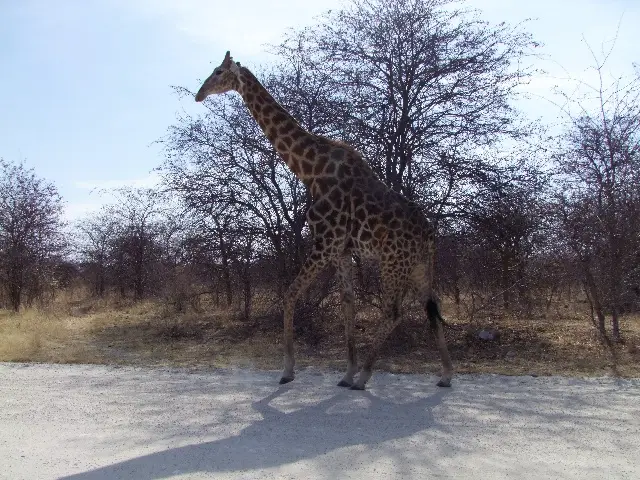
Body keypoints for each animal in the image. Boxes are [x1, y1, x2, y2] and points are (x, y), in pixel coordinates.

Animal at [195, 51, 453, 390]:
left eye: (217, 71)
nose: (198, 94)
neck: (310, 170)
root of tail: (430, 234)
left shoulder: (325, 242)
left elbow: (291, 293)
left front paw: (288, 370)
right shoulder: (342, 250)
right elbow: (347, 303)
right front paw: (346, 372)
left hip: (393, 262)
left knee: (393, 312)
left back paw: (366, 376)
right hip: (420, 264)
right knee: (432, 306)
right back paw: (445, 375)